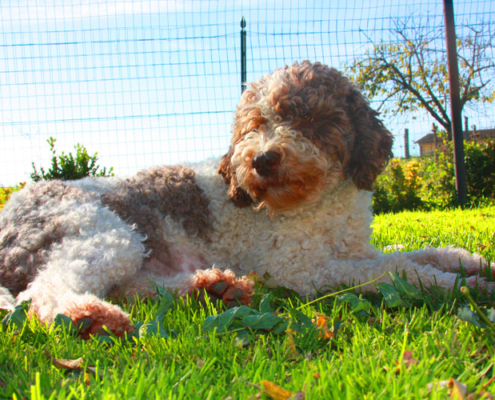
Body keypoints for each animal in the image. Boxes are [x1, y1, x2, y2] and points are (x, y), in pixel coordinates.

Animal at [0, 60, 494, 338]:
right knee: (44, 291)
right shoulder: (302, 269)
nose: (262, 160)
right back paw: (89, 315)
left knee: (136, 287)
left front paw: (470, 262)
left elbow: (415, 252)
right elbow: (397, 268)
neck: (316, 203)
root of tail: (9, 214)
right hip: (104, 233)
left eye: (309, 120)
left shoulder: (353, 248)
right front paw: (466, 286)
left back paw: (214, 288)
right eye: (255, 123)